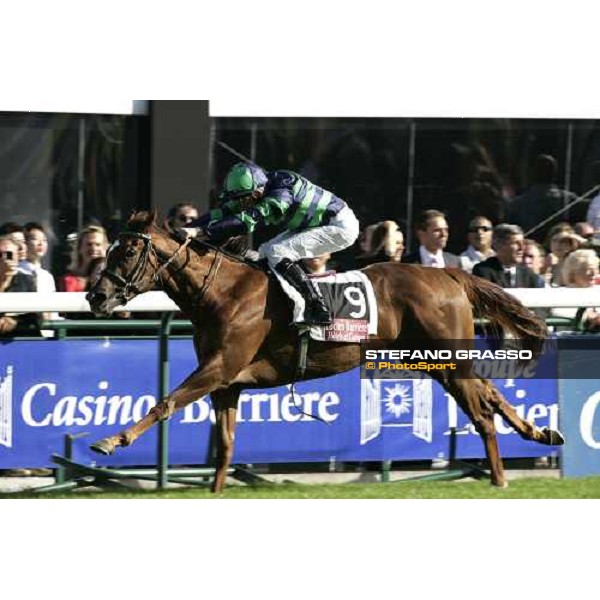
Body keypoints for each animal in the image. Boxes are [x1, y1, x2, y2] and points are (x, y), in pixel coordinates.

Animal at [86, 212, 564, 492]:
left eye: (129, 250)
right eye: (108, 248)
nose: (96, 295)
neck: (222, 293)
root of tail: (448, 274)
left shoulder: (220, 368)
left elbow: (166, 403)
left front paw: (111, 440)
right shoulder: (227, 384)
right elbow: (225, 446)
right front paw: (216, 490)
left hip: (445, 359)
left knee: (481, 411)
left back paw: (500, 478)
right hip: (436, 360)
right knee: (489, 393)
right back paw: (540, 434)